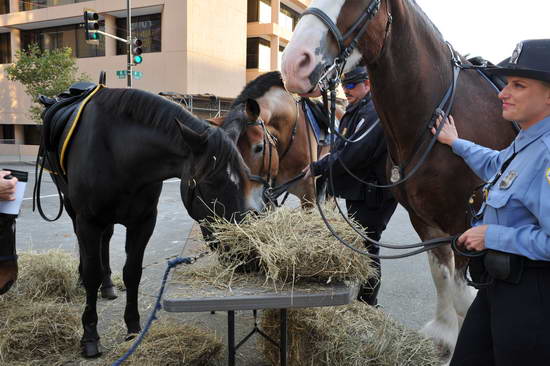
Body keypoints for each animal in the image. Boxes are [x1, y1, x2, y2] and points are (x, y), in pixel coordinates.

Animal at [44, 87, 256, 356]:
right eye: (211, 183)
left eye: (246, 178)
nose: (247, 257)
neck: (118, 152)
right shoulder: (88, 221)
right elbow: (92, 273)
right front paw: (90, 336)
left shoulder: (143, 222)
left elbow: (132, 273)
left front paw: (133, 327)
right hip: (74, 209)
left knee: (106, 239)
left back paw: (108, 285)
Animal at [282, 0, 520, 356]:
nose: (293, 63)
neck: (439, 113)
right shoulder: (425, 222)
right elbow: (441, 277)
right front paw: (444, 336)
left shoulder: (466, 223)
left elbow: (463, 297)